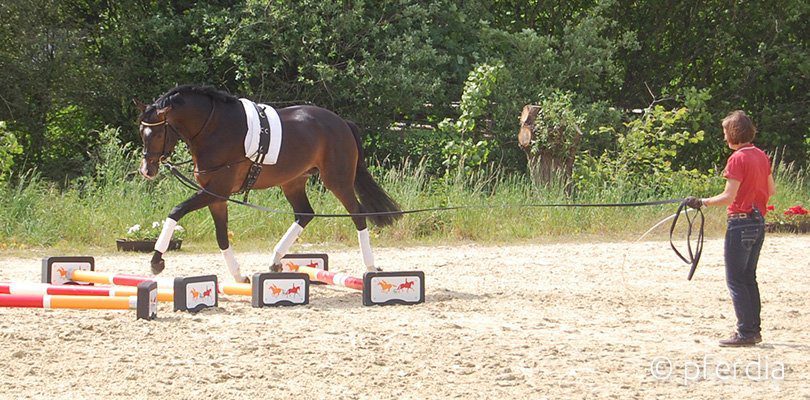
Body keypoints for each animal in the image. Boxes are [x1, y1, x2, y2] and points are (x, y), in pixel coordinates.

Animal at [134, 84, 402, 282]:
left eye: (157, 133)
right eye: (141, 132)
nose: (147, 171)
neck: (214, 129)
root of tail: (342, 123)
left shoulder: (215, 191)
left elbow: (176, 211)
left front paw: (156, 261)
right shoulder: (216, 197)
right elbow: (221, 236)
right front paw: (239, 276)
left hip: (337, 180)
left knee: (357, 215)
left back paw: (370, 267)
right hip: (293, 181)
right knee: (304, 214)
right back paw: (275, 261)